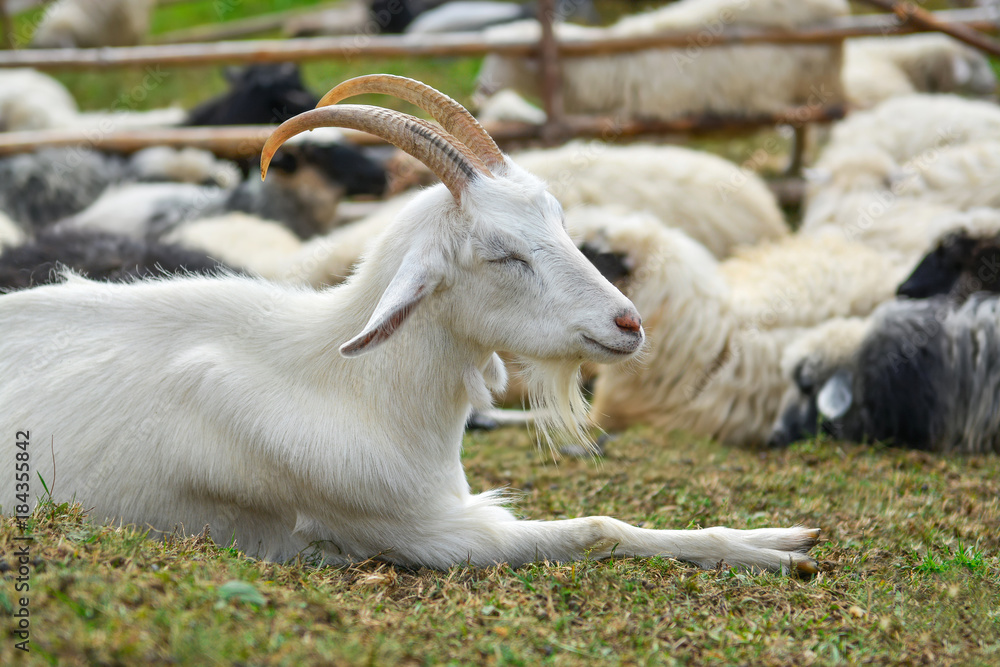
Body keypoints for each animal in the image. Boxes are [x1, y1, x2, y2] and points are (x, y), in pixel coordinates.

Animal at [0, 75, 819, 573]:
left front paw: (780, 532)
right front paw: (772, 554)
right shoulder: (429, 535)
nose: (628, 323)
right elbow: (600, 527)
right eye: (501, 254)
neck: (347, 384)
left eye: (559, 219)